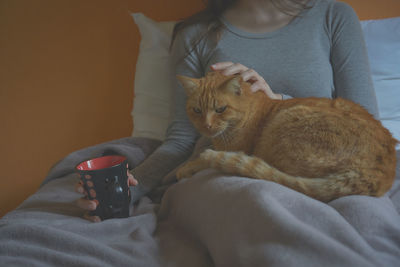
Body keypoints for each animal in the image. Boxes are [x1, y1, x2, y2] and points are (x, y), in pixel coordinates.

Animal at [177, 72, 398, 202]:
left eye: (220, 109)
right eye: (196, 110)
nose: (206, 126)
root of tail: (378, 173)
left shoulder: (234, 148)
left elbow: (200, 161)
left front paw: (187, 167)